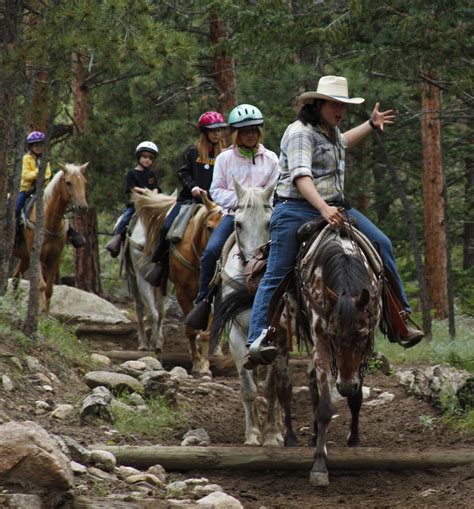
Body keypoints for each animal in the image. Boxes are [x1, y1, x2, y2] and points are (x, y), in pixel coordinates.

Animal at [12, 163, 88, 314]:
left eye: (84, 182)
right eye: (68, 183)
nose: (82, 207)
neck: (49, 221)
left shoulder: (54, 258)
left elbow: (49, 290)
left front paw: (46, 315)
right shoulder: (38, 257)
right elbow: (41, 285)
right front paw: (40, 312)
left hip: (25, 259)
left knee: (15, 278)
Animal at [124, 215, 168, 354]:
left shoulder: (166, 281)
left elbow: (161, 312)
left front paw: (158, 342)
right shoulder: (141, 278)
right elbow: (152, 313)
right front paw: (154, 343)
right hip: (133, 281)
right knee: (139, 308)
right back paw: (143, 343)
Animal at [132, 189, 223, 376]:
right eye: (209, 227)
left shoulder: (209, 296)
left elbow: (206, 331)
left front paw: (205, 364)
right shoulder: (182, 292)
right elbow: (190, 330)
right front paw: (196, 363)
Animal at [210, 180, 296, 444]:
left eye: (270, 223)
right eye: (238, 223)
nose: (254, 269)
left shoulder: (277, 337)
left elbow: (271, 386)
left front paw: (272, 434)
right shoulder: (237, 335)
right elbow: (249, 388)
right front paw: (252, 435)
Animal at [296, 222, 386, 484]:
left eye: (363, 335)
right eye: (333, 336)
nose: (344, 387)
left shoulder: (366, 349)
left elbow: (357, 399)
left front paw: (354, 439)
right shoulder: (321, 341)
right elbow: (325, 406)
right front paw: (319, 465)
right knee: (313, 381)